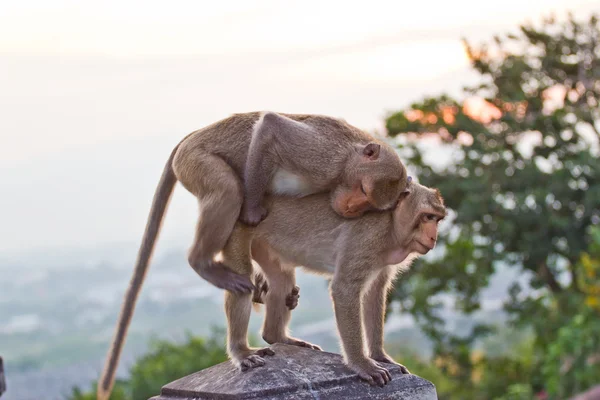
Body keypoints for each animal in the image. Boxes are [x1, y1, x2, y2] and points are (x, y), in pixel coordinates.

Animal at [97, 110, 408, 400]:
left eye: (369, 203)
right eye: (363, 189)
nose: (350, 208)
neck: (346, 162)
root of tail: (193, 136)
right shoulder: (323, 158)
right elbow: (270, 126)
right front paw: (252, 211)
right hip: (196, 162)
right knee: (228, 189)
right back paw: (205, 266)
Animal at [221, 182, 446, 388]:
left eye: (437, 219)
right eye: (427, 217)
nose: (433, 237)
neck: (391, 223)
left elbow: (375, 293)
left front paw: (379, 356)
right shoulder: (368, 237)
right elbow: (345, 290)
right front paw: (362, 363)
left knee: (281, 280)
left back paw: (277, 335)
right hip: (237, 229)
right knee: (242, 279)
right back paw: (242, 352)